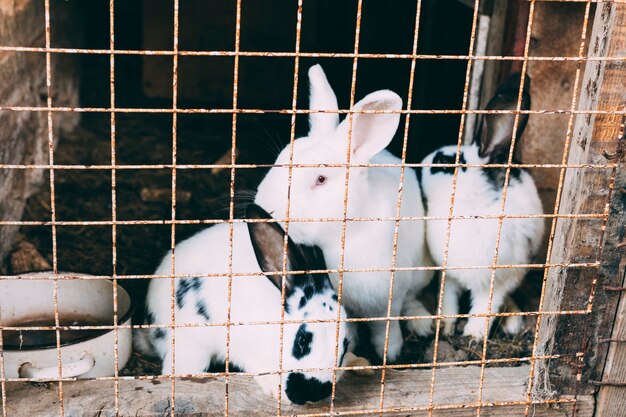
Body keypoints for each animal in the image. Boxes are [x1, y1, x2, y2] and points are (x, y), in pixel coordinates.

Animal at [251, 64, 432, 360]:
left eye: (321, 179)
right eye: (282, 158)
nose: (267, 205)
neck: (340, 238)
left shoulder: (388, 299)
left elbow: (387, 328)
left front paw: (390, 354)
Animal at [416, 75, 544, 340]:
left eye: (443, 161)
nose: (419, 165)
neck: (471, 206)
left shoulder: (499, 280)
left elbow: (485, 308)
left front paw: (473, 335)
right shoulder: (450, 274)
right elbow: (449, 300)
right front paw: (445, 325)